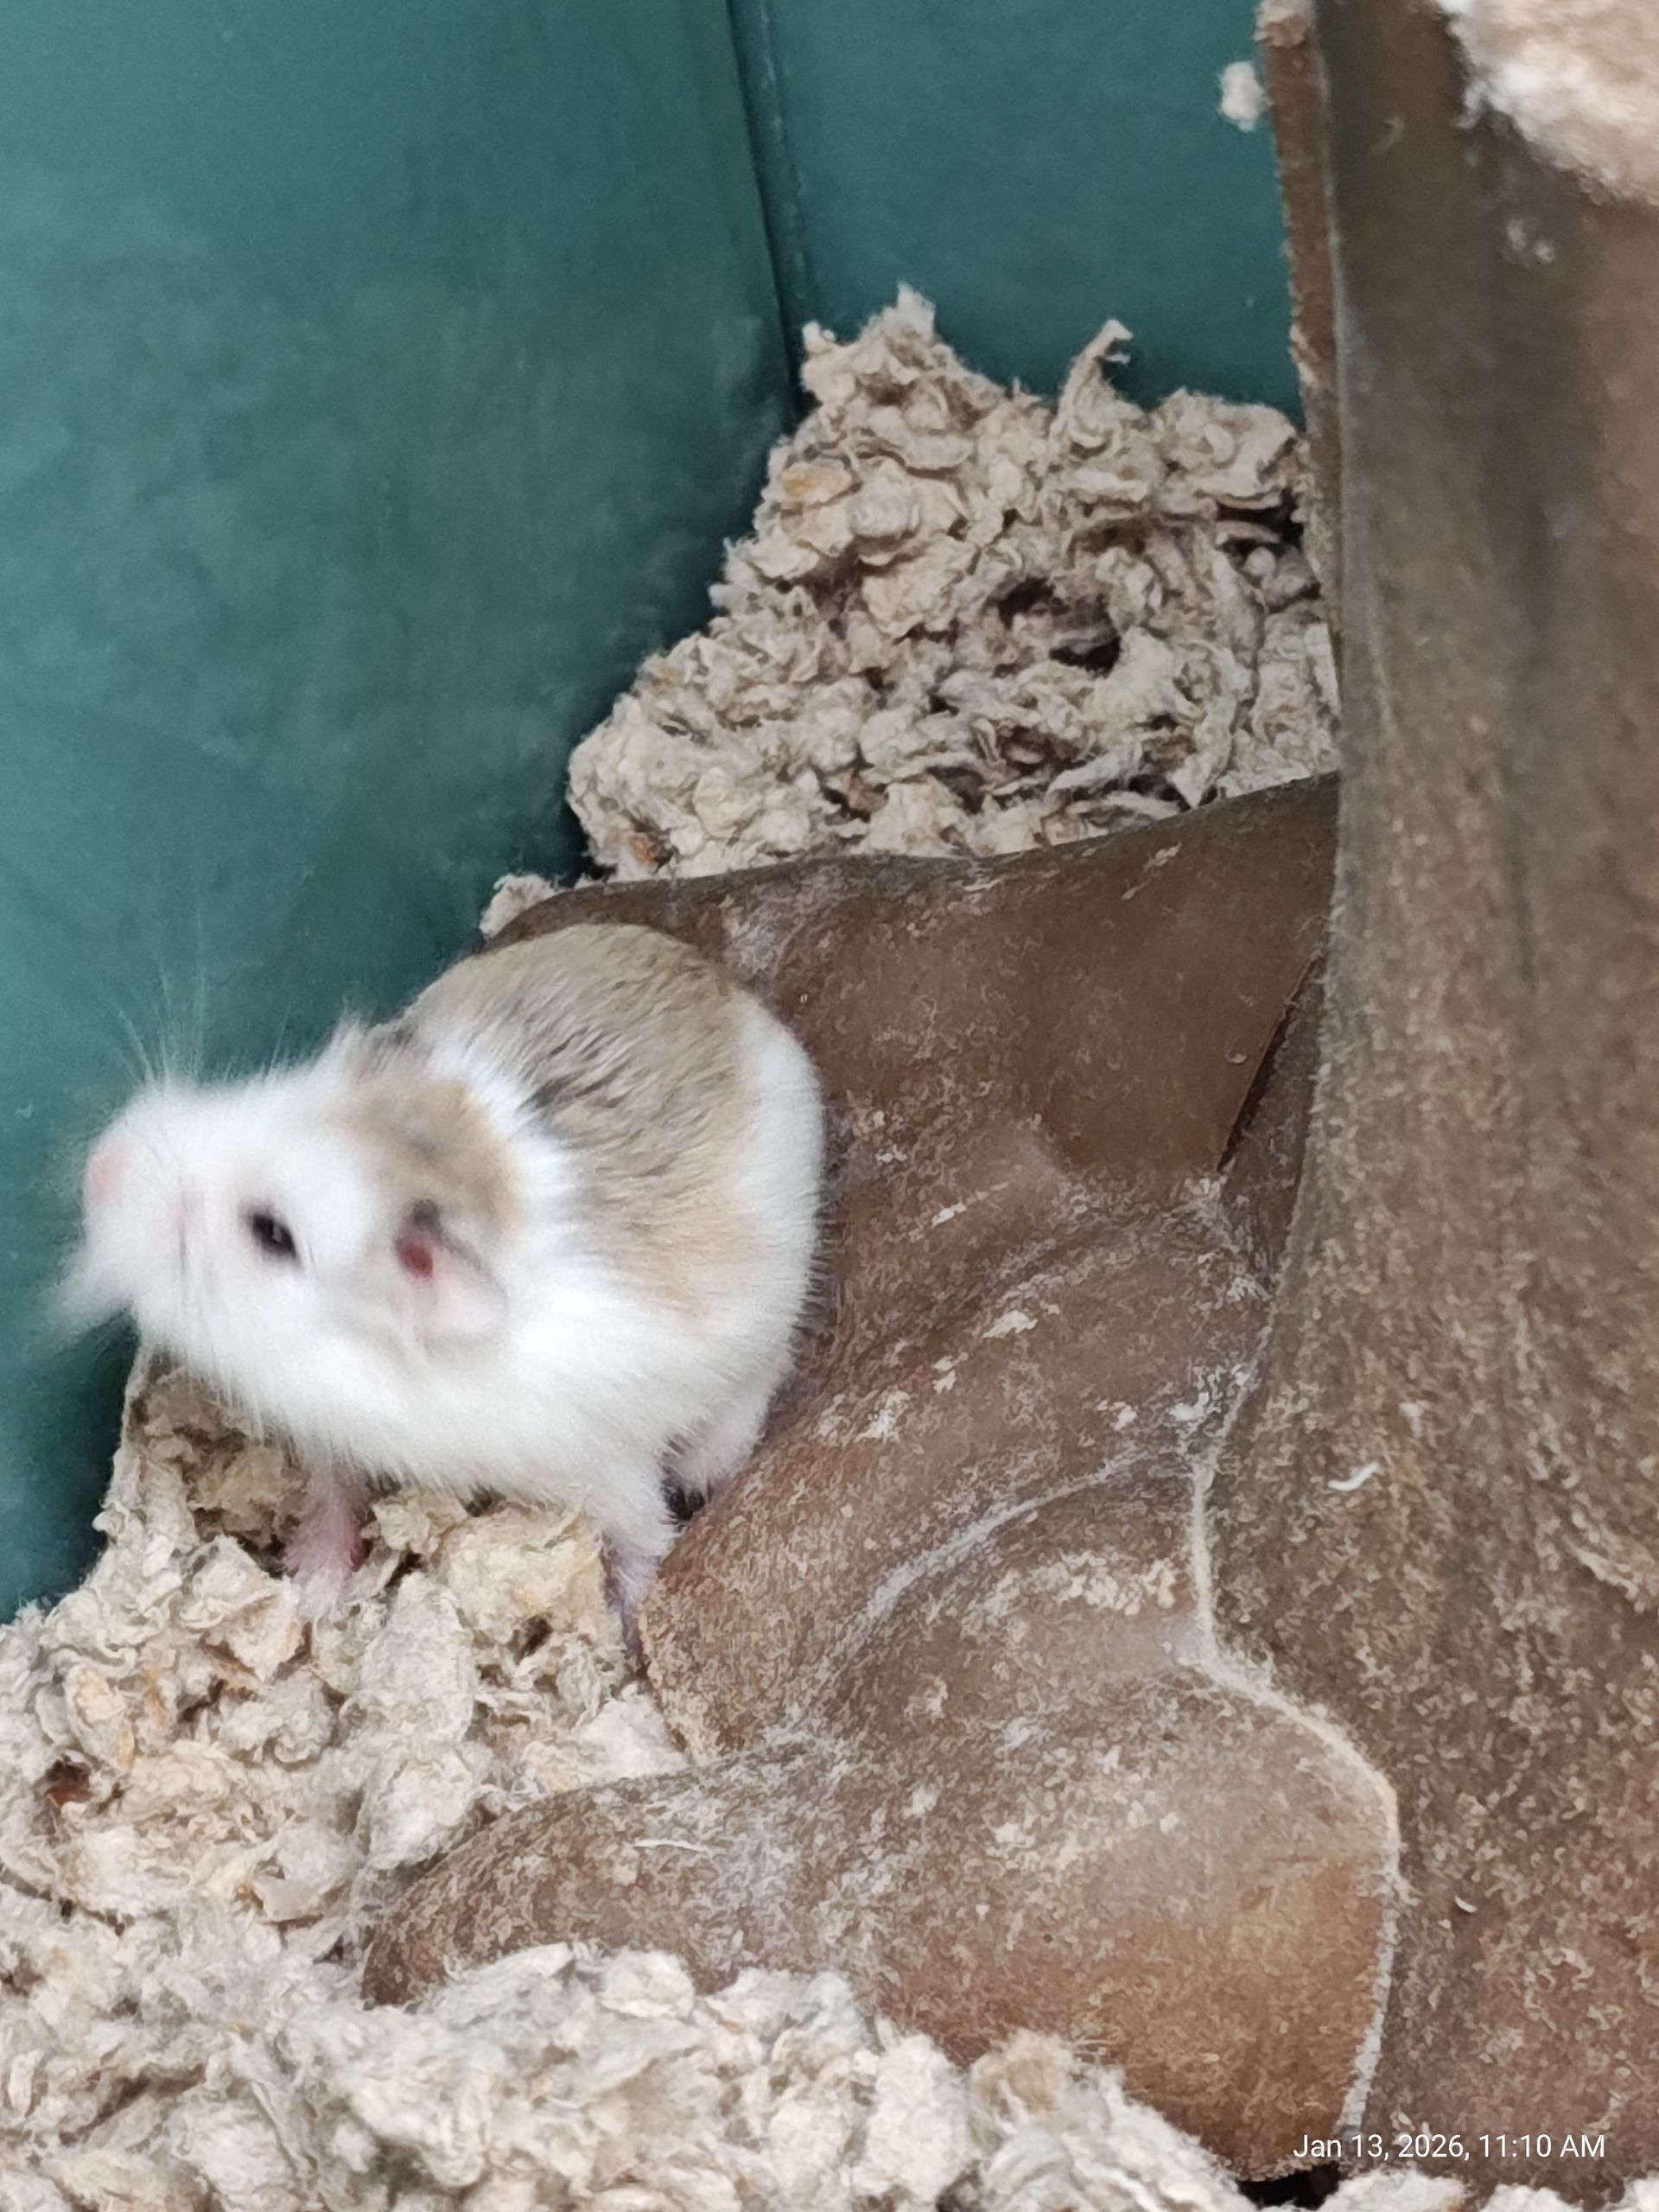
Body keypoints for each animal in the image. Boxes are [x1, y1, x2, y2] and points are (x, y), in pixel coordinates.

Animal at [68, 923, 824, 1627]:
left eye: (273, 1235)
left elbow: (641, 1532)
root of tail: (739, 994)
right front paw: (311, 1596)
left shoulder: (603, 1466)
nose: (98, 1167)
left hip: (774, 1301)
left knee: (767, 1370)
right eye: (266, 1092)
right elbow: (333, 1495)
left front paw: (626, 1628)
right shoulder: (332, 1438)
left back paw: (704, 1468)